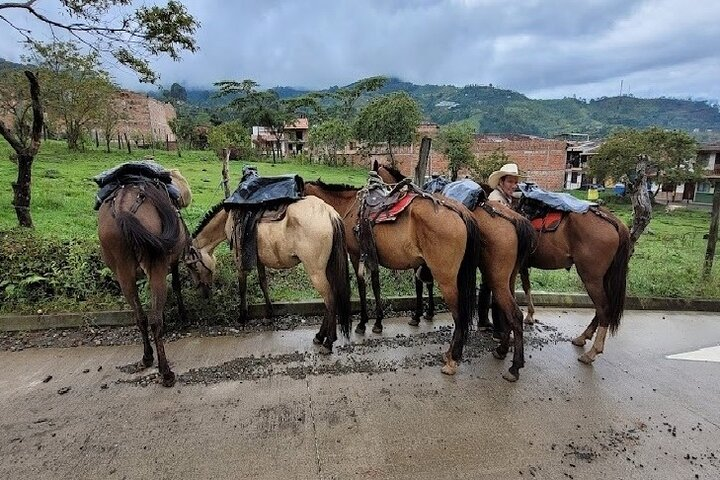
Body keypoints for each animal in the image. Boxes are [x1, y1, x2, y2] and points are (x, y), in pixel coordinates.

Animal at [97, 169, 192, 387]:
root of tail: (123, 207)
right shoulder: (173, 260)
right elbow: (176, 285)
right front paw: (182, 315)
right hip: (155, 265)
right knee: (154, 320)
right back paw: (165, 372)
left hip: (122, 270)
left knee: (141, 317)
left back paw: (147, 357)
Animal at [187, 195, 352, 353]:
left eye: (193, 267)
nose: (203, 293)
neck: (229, 218)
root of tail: (330, 213)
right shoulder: (260, 259)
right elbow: (263, 283)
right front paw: (269, 315)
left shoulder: (239, 260)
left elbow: (242, 288)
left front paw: (242, 317)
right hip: (327, 269)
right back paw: (320, 336)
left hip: (316, 272)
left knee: (330, 300)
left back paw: (328, 342)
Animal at [303, 179, 481, 375]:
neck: (348, 205)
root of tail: (459, 211)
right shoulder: (371, 257)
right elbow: (376, 286)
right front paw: (377, 323)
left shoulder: (357, 255)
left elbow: (362, 287)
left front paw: (362, 323)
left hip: (446, 278)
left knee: (459, 314)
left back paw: (452, 359)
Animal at [374, 162, 536, 381]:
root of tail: (513, 218)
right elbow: (427, 285)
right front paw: (428, 314)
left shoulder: (422, 264)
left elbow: (420, 287)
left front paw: (418, 316)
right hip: (507, 278)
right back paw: (501, 348)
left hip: (497, 277)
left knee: (514, 314)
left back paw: (513, 367)